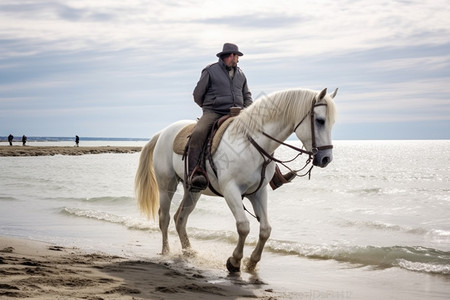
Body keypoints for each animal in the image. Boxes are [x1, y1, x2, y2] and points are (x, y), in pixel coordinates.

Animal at [136, 88, 338, 274]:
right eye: (320, 120)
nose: (326, 158)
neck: (252, 144)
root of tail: (163, 133)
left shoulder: (258, 192)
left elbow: (265, 229)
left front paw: (251, 262)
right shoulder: (231, 190)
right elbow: (243, 226)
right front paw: (234, 261)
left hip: (193, 191)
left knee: (180, 218)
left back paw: (189, 252)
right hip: (166, 186)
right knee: (164, 217)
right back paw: (166, 252)